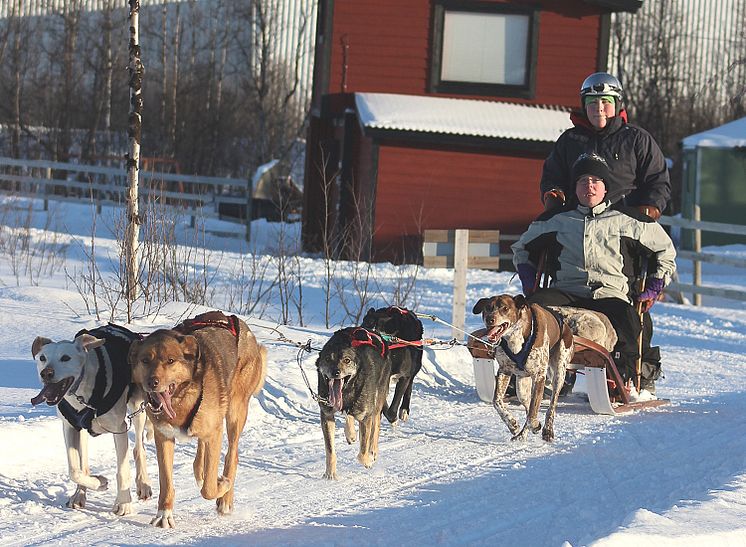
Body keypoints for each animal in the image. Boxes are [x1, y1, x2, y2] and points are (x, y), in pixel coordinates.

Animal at [127, 310, 264, 528]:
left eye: (171, 360)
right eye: (145, 360)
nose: (152, 382)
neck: (180, 399)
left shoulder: (215, 432)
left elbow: (209, 488)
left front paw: (221, 484)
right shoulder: (164, 436)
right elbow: (166, 482)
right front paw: (164, 514)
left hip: (235, 412)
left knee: (231, 455)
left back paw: (225, 498)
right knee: (201, 453)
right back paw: (200, 472)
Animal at [316, 330, 392, 480]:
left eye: (347, 360)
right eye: (327, 359)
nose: (335, 372)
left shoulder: (366, 417)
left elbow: (363, 451)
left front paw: (368, 460)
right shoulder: (327, 415)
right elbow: (330, 450)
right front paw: (330, 474)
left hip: (377, 400)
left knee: (376, 424)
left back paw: (373, 450)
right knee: (349, 414)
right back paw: (350, 433)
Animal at [474, 296, 572, 440]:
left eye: (505, 308)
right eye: (487, 307)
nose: (489, 319)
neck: (514, 338)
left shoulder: (539, 376)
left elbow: (533, 412)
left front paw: (535, 424)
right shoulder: (504, 370)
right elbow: (497, 402)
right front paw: (512, 424)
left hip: (559, 372)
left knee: (552, 404)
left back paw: (548, 429)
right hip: (522, 387)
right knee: (528, 404)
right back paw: (522, 434)